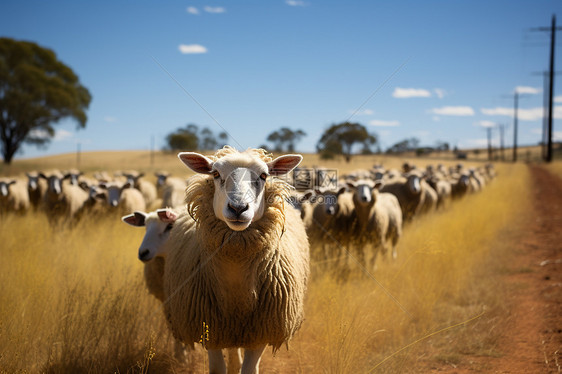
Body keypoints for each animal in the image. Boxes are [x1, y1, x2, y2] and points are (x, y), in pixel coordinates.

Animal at [162, 147, 308, 374]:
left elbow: (249, 369)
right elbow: (217, 369)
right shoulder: (211, 330)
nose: (238, 208)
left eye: (264, 176)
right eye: (215, 174)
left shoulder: (261, 333)